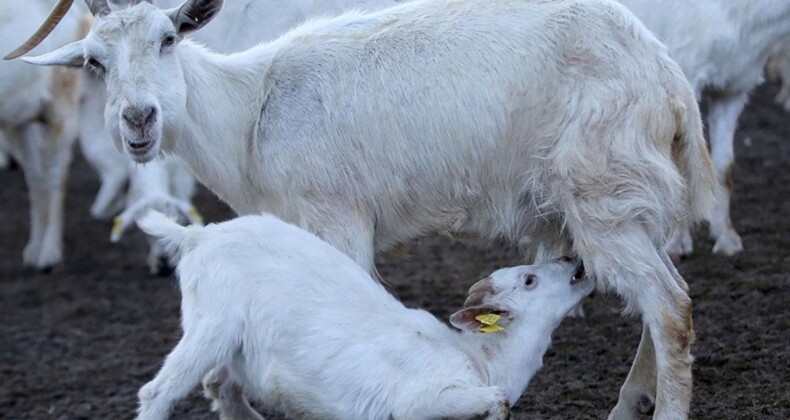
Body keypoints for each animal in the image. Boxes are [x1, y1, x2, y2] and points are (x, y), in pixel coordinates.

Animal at [0, 0, 88, 270]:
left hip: (60, 114)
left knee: (55, 176)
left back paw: (48, 256)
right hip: (22, 123)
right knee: (35, 177)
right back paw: (33, 251)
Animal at [136, 213, 592, 420]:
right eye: (530, 280)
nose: (574, 261)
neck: (481, 361)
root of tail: (198, 235)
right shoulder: (418, 402)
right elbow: (497, 402)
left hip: (233, 345)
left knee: (220, 386)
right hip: (211, 323)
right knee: (157, 392)